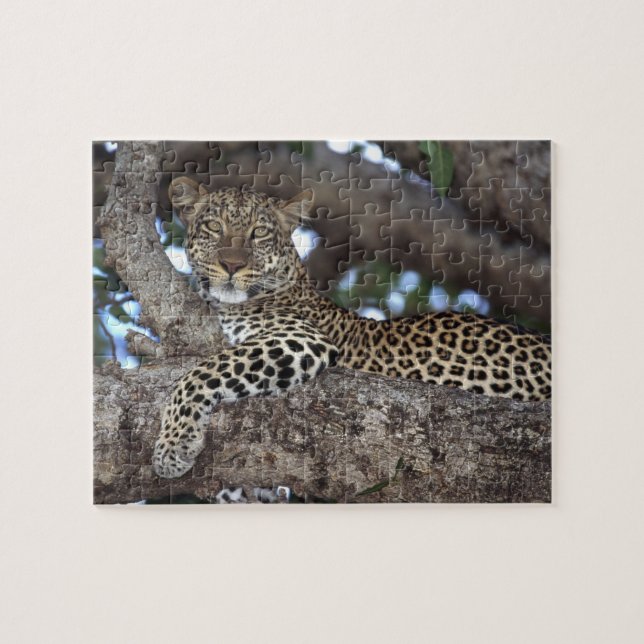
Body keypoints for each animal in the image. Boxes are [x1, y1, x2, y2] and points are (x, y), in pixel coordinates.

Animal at [153, 178, 552, 481]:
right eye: (213, 227)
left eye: (259, 232)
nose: (232, 265)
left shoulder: (301, 339)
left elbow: (201, 372)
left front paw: (172, 447)